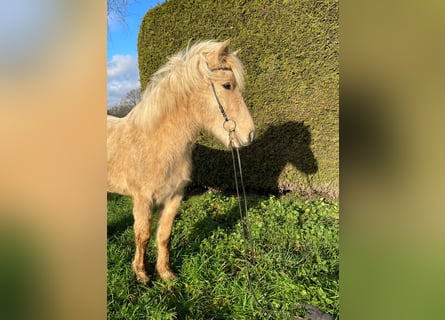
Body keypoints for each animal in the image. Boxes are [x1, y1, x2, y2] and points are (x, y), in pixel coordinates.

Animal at [106, 39, 253, 282]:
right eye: (227, 85)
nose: (249, 134)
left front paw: (165, 273)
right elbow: (143, 235)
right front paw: (141, 274)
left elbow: (164, 235)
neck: (157, 141)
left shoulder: (174, 197)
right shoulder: (142, 200)